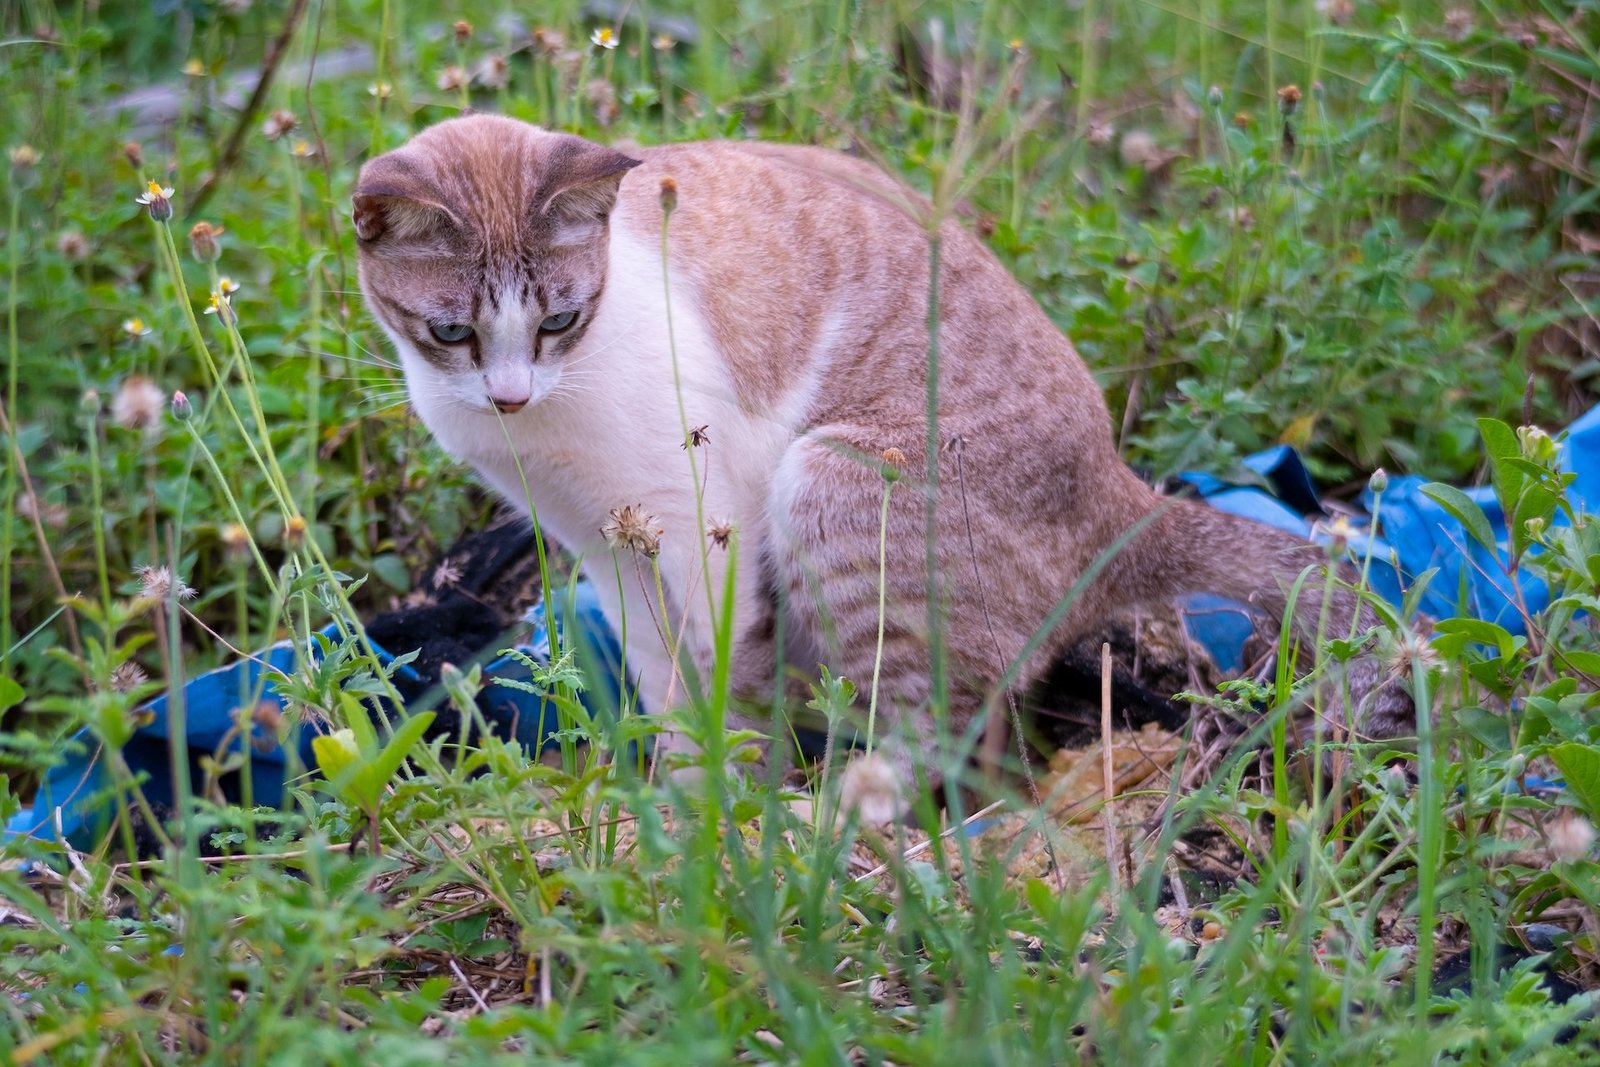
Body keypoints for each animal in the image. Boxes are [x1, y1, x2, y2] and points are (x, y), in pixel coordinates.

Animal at [353, 115, 1414, 809]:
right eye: (451, 332)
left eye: (559, 318)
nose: (509, 394)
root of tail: (1123, 498)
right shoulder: (607, 547)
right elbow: (666, 687)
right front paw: (679, 804)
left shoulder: (697, 527)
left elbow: (724, 684)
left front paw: (727, 822)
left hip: (833, 487)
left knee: (938, 740)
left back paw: (837, 826)